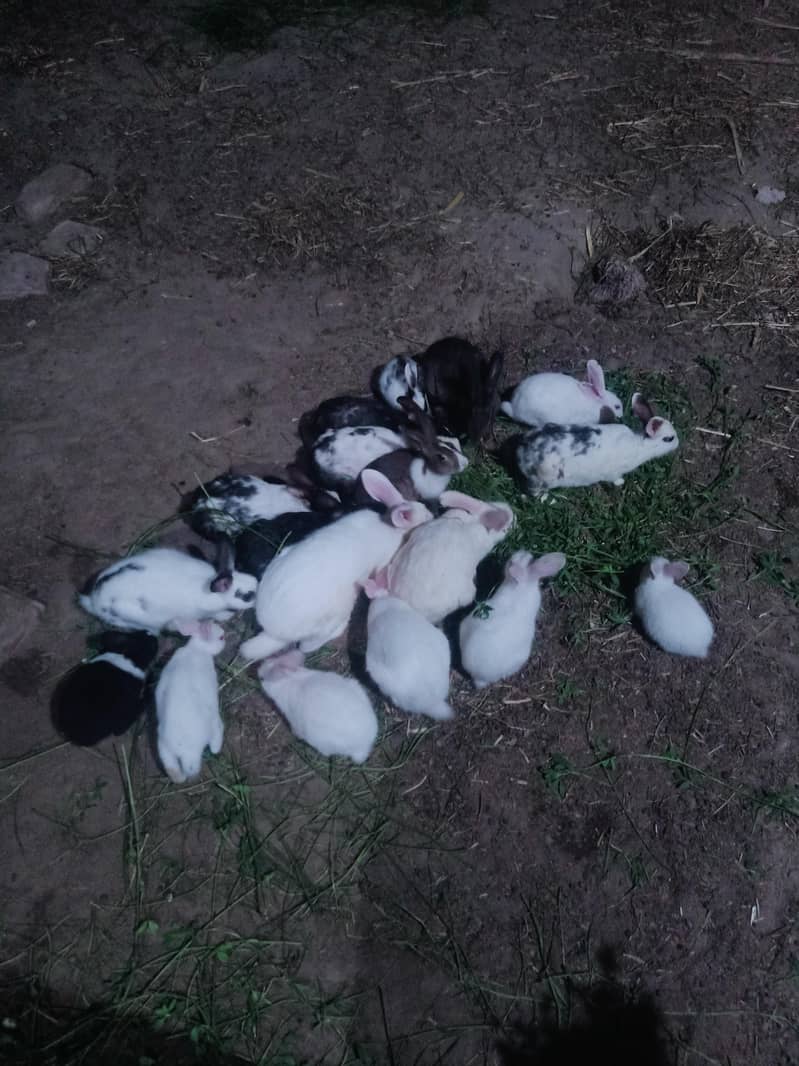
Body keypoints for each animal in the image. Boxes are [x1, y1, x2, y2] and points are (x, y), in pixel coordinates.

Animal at [156, 620, 226, 783]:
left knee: (174, 772)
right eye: (221, 637)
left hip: (165, 751)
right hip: (212, 723)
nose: (225, 639)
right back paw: (217, 747)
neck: (197, 648)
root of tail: (187, 752)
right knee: (215, 738)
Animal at [239, 470, 433, 662]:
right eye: (426, 517)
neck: (392, 527)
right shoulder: (384, 560)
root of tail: (274, 632)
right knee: (307, 646)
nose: (432, 515)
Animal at [500, 393, 679, 498]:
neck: (640, 444)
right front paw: (620, 483)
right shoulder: (613, 472)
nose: (678, 443)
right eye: (668, 439)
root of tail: (523, 450)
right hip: (542, 480)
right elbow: (614, 479)